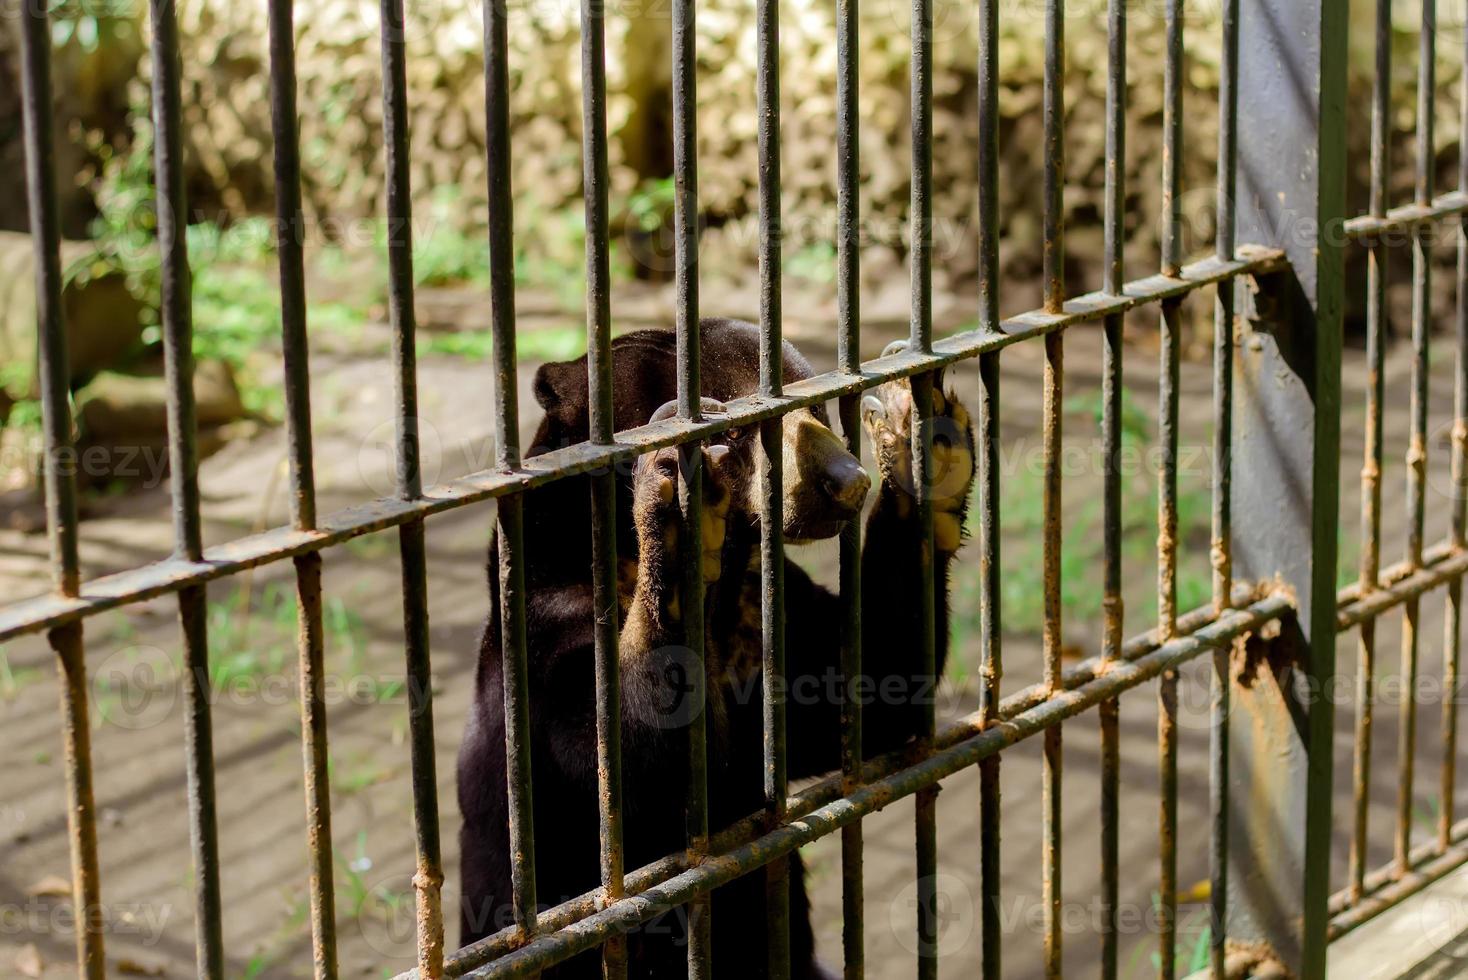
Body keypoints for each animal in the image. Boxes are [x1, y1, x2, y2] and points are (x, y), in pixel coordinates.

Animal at [458, 318, 974, 974]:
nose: (846, 482)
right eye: (730, 429)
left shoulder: (772, 612)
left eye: (816, 408)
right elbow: (628, 767)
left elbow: (871, 685)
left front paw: (923, 435)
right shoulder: (545, 633)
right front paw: (680, 506)